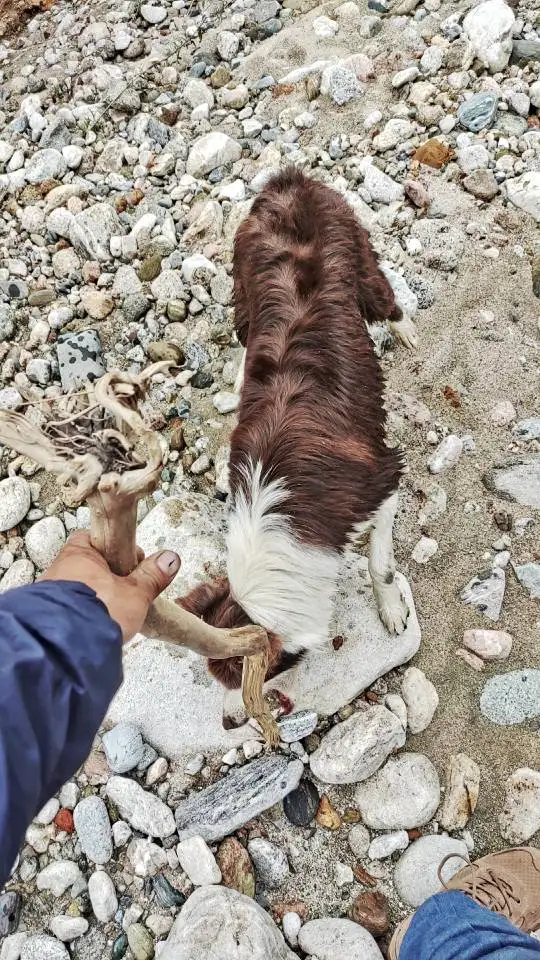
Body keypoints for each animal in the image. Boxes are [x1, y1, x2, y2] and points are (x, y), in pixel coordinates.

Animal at [179, 167, 416, 728]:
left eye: (256, 681)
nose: (228, 722)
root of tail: (287, 181)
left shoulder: (384, 480)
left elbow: (378, 564)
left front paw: (392, 608)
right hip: (243, 289)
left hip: (360, 262)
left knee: (386, 296)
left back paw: (406, 329)